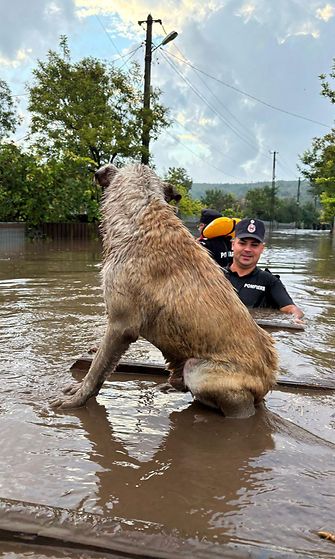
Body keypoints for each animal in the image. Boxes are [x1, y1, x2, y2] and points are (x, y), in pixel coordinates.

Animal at [52, 164, 278, 418]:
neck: (142, 215)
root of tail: (268, 380)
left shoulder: (121, 326)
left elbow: (97, 369)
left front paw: (77, 399)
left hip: (199, 371)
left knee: (239, 406)